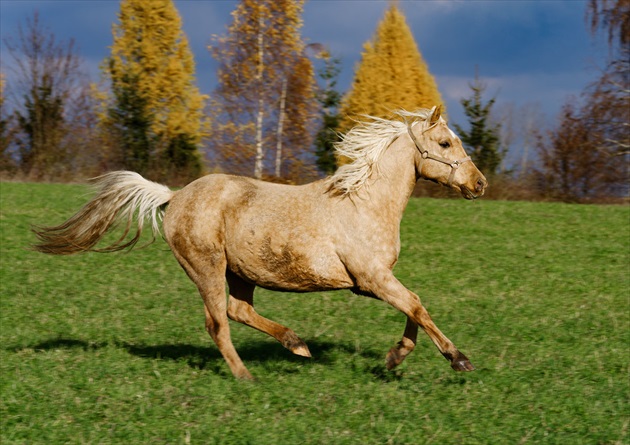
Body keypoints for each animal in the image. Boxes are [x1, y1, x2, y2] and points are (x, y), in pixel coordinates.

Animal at [33, 105, 488, 378]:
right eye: (445, 143)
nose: (479, 183)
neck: (363, 202)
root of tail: (173, 196)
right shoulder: (372, 278)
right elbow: (417, 305)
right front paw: (458, 359)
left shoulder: (373, 282)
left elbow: (413, 308)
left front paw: (394, 358)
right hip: (207, 267)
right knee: (217, 322)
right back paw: (245, 375)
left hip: (240, 273)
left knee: (239, 311)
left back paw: (297, 345)